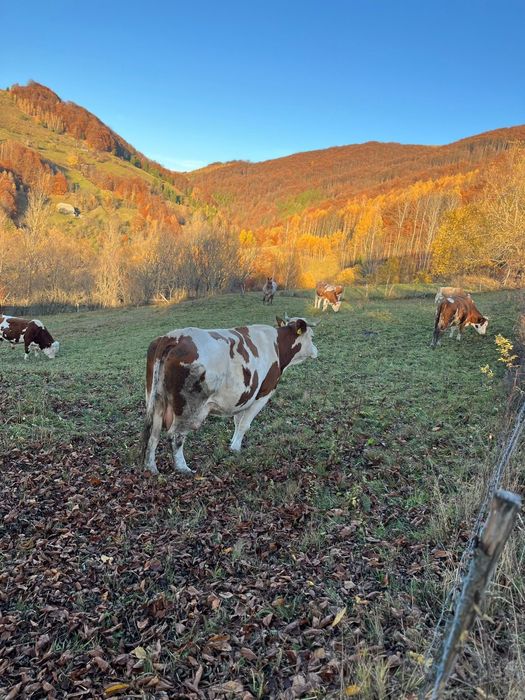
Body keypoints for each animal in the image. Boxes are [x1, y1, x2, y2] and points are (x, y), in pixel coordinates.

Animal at [142, 315, 318, 475]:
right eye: (312, 336)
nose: (316, 350)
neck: (277, 346)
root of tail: (173, 337)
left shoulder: (244, 396)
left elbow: (237, 422)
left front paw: (233, 442)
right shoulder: (263, 393)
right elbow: (245, 424)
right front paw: (235, 448)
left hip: (156, 400)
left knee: (153, 434)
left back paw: (151, 468)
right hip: (188, 408)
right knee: (175, 435)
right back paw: (183, 468)